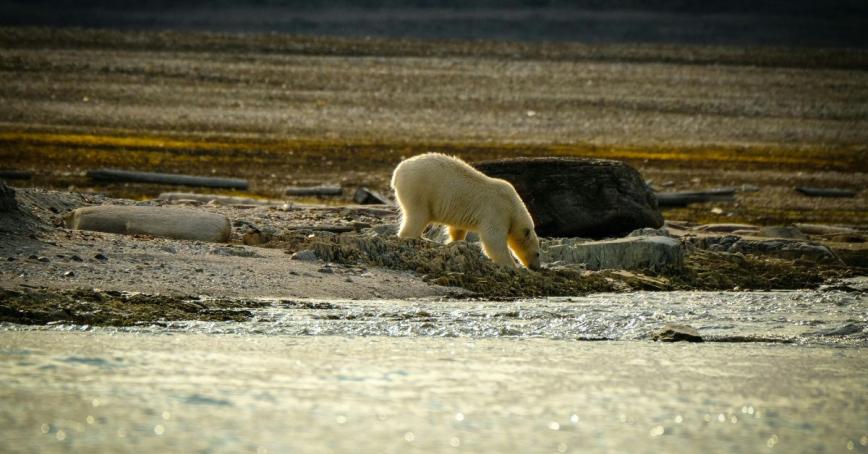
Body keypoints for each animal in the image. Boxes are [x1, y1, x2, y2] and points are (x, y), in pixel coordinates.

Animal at [390, 153, 541, 270]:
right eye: (538, 253)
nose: (536, 267)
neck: (513, 206)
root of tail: (397, 172)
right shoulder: (497, 211)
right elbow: (493, 239)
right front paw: (512, 266)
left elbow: (457, 229)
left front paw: (454, 241)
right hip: (418, 189)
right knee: (418, 214)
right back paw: (418, 237)